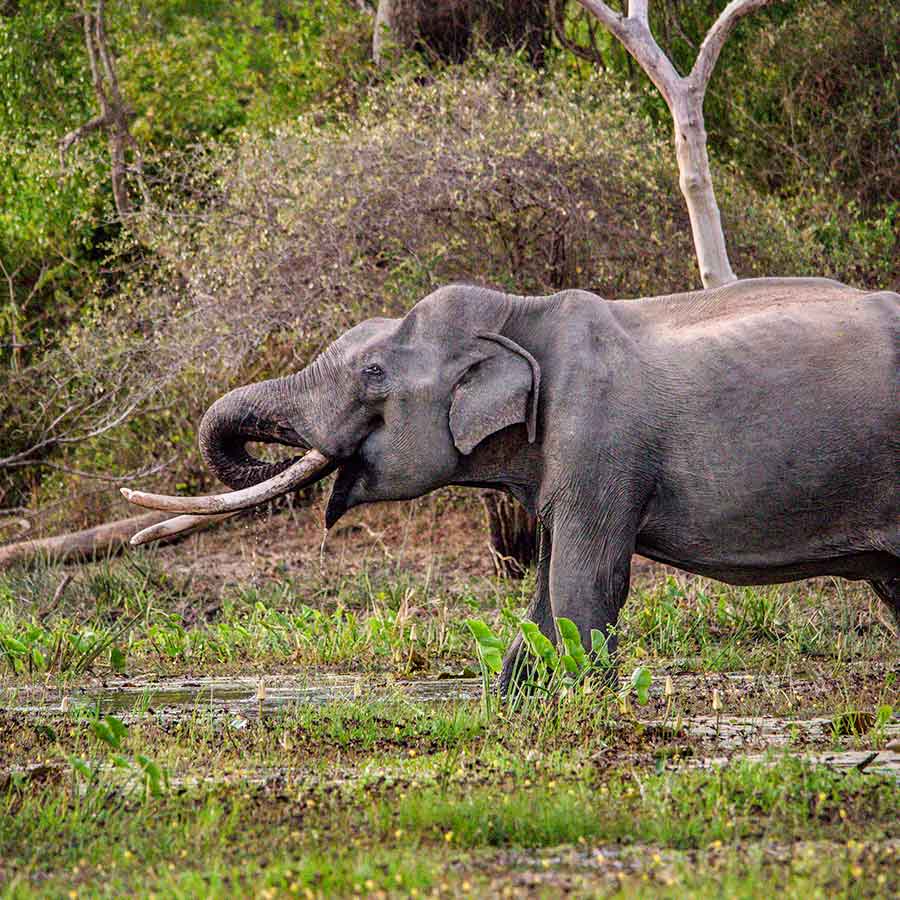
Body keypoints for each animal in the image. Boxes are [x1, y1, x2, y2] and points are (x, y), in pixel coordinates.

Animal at [126, 278, 900, 684]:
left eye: (373, 376)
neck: (523, 311)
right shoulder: (561, 471)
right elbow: (542, 603)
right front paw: (511, 710)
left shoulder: (599, 449)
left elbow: (585, 591)